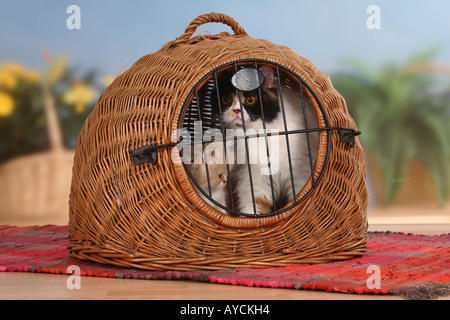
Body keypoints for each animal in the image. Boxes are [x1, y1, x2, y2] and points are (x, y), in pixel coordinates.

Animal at [211, 64, 320, 215]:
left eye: (250, 99)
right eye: (226, 99)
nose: (237, 110)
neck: (257, 133)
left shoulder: (299, 170)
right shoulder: (254, 177)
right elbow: (254, 207)